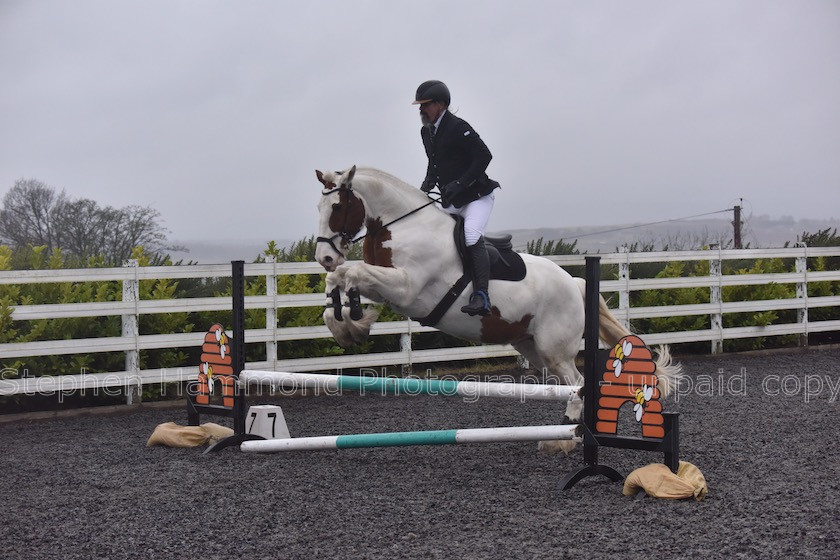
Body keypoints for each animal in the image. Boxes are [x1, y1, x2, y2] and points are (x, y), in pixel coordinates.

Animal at [312, 164, 680, 452]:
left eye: (337, 207)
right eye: (319, 206)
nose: (325, 257)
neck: (404, 225)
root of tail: (574, 283)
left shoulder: (405, 287)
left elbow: (353, 273)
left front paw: (352, 320)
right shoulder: (386, 285)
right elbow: (341, 279)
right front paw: (347, 323)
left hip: (555, 349)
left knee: (578, 383)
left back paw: (561, 440)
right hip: (532, 348)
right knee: (568, 384)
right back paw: (568, 435)